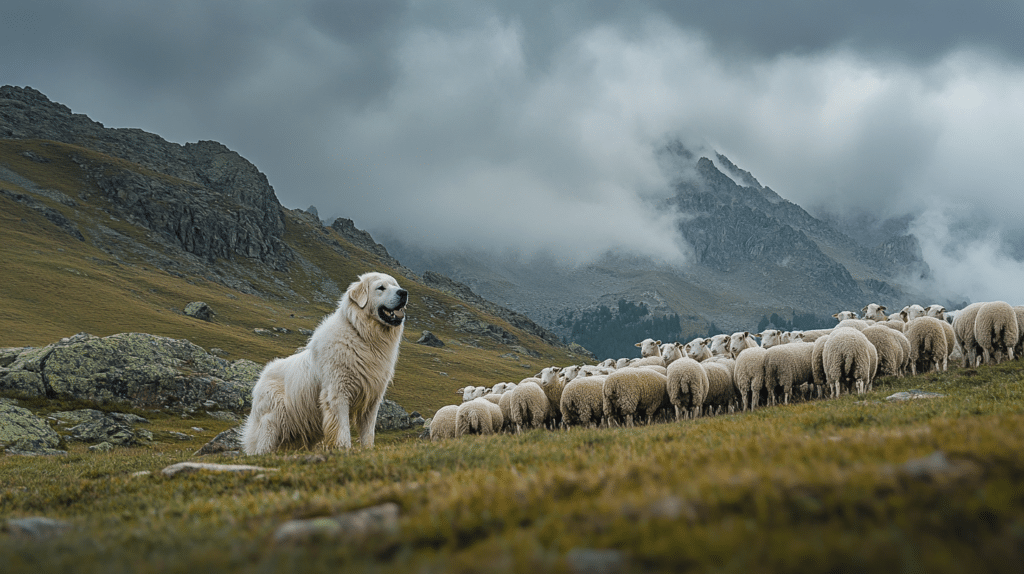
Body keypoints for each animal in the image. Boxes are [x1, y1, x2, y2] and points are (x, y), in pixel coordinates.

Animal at [242, 270, 407, 454]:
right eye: (381, 287)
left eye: (395, 285)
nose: (404, 293)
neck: (361, 336)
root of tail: (263, 375)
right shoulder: (338, 393)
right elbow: (343, 429)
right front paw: (345, 449)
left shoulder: (372, 399)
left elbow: (368, 432)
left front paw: (368, 450)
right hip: (272, 420)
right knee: (262, 447)